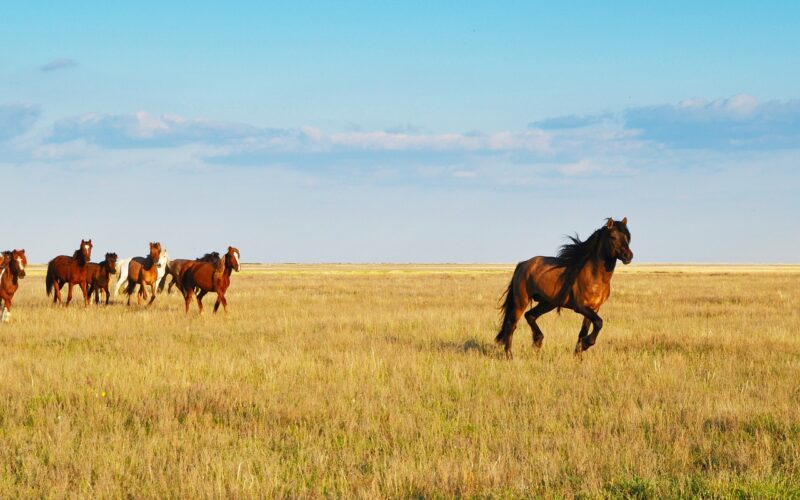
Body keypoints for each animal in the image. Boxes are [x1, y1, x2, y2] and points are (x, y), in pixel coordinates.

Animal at [494, 217, 632, 358]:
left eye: (627, 237)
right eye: (613, 237)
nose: (628, 256)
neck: (594, 276)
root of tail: (523, 264)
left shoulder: (594, 308)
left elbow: (584, 331)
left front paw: (578, 354)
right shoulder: (580, 307)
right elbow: (599, 323)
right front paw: (586, 344)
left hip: (548, 303)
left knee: (530, 316)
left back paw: (538, 341)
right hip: (521, 302)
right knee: (511, 325)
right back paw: (509, 355)